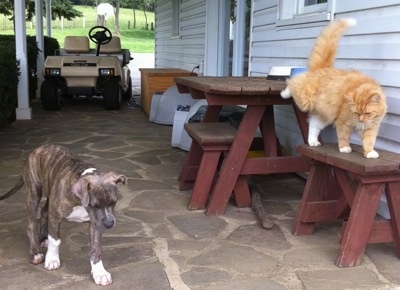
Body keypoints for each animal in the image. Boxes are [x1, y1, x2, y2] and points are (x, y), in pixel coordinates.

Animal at [0, 144, 125, 286]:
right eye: (94, 205)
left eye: (114, 202)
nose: (109, 224)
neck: (79, 201)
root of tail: (38, 148)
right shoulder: (56, 216)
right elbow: (55, 240)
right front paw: (52, 259)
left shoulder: (95, 223)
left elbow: (96, 248)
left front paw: (99, 272)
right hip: (34, 193)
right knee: (31, 224)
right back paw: (35, 253)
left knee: (44, 211)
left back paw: (43, 238)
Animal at [280, 18, 386, 159]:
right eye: (356, 113)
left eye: (367, 113)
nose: (361, 120)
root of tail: (324, 67)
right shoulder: (343, 123)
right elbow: (343, 137)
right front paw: (345, 148)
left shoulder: (371, 126)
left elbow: (369, 140)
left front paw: (369, 152)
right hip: (305, 100)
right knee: (293, 81)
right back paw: (284, 92)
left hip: (324, 115)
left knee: (313, 126)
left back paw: (313, 142)